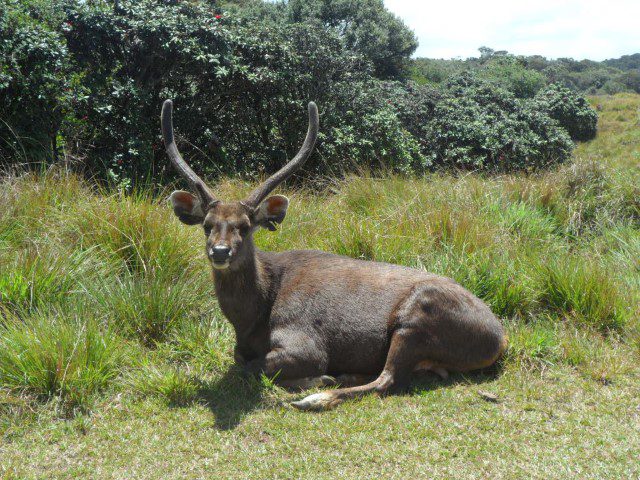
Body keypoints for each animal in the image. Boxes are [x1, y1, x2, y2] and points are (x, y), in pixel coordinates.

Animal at [162, 99, 508, 410]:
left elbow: (252, 367)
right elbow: (239, 360)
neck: (253, 316)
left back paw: (317, 397)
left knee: (387, 380)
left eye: (245, 227)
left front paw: (315, 379)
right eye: (207, 225)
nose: (220, 251)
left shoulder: (305, 342)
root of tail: (499, 339)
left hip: (415, 318)